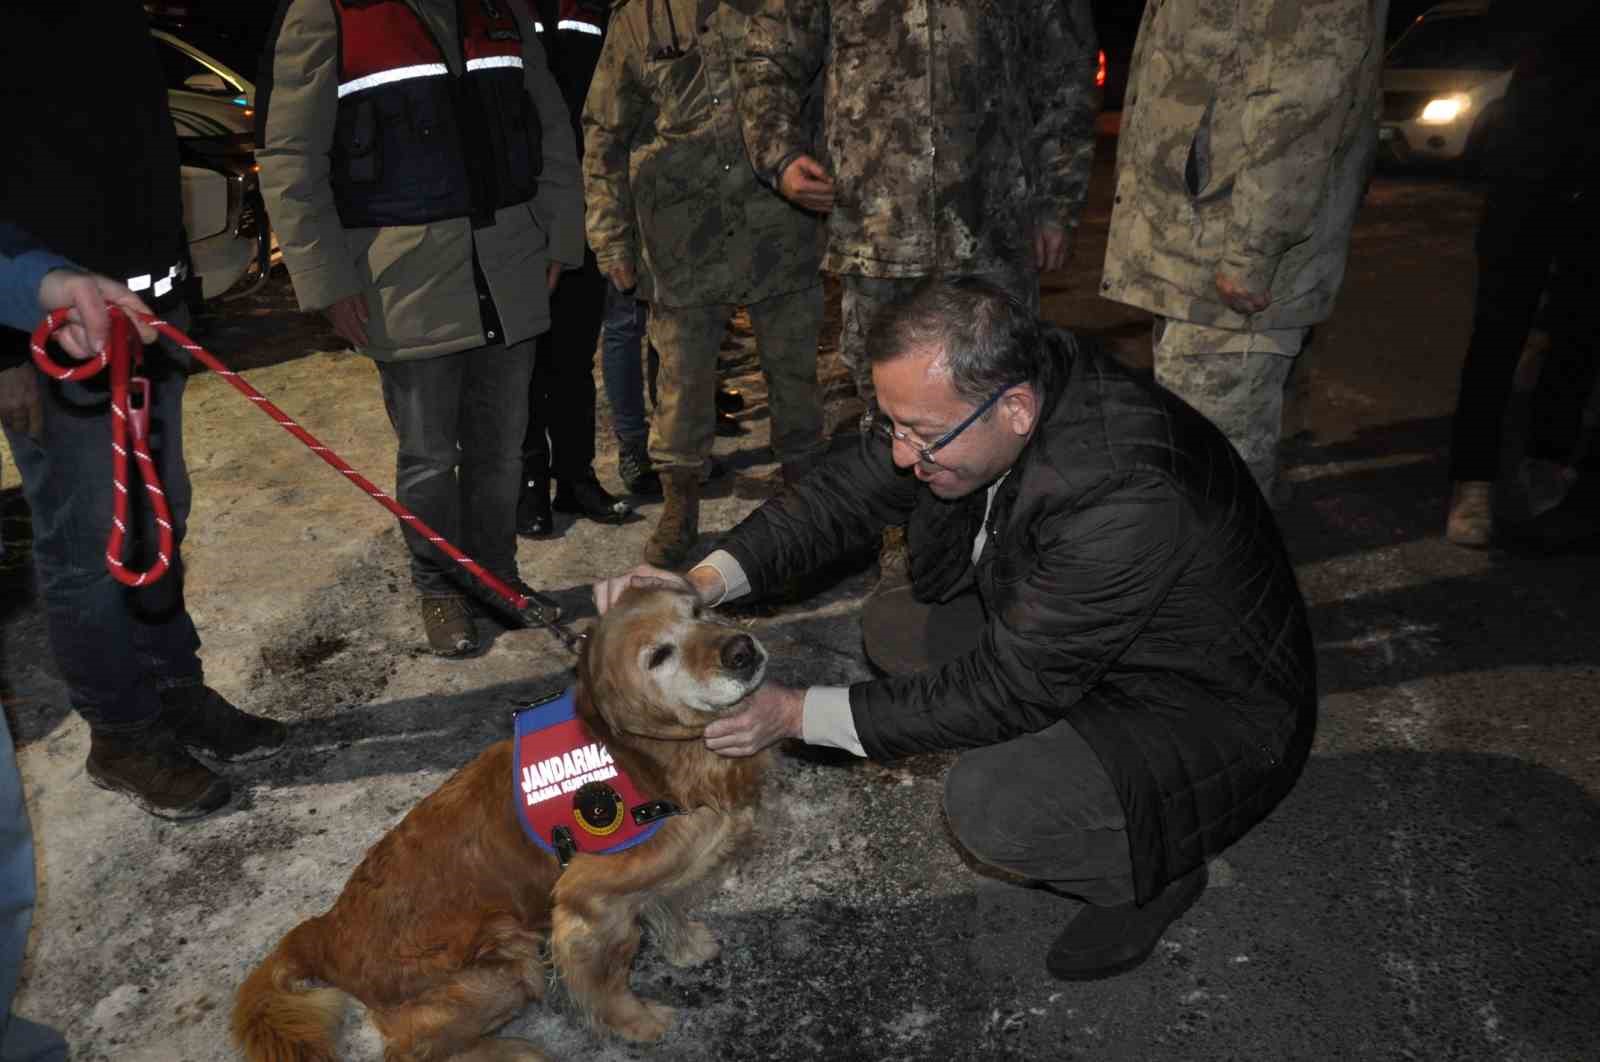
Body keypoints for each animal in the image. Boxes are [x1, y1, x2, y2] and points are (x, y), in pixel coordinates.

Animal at [230, 585, 768, 1055]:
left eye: (698, 611)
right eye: (658, 656)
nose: (742, 650)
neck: (639, 760)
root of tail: (323, 930)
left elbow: (664, 903)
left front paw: (686, 944)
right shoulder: (588, 909)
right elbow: (609, 982)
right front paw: (638, 1023)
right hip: (506, 965)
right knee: (409, 1050)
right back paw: (511, 1051)